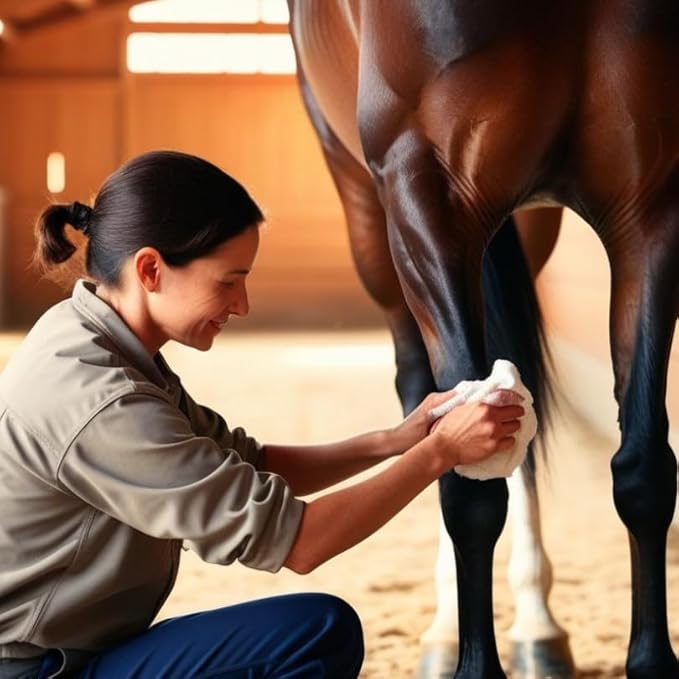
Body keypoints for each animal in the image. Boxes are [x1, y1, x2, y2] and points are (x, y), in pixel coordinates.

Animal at [286, 1, 679, 678]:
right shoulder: (428, 197)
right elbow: (463, 478)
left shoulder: (650, 210)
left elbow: (644, 469)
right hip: (369, 214)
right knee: (421, 392)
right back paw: (447, 632)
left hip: (528, 222)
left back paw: (538, 627)